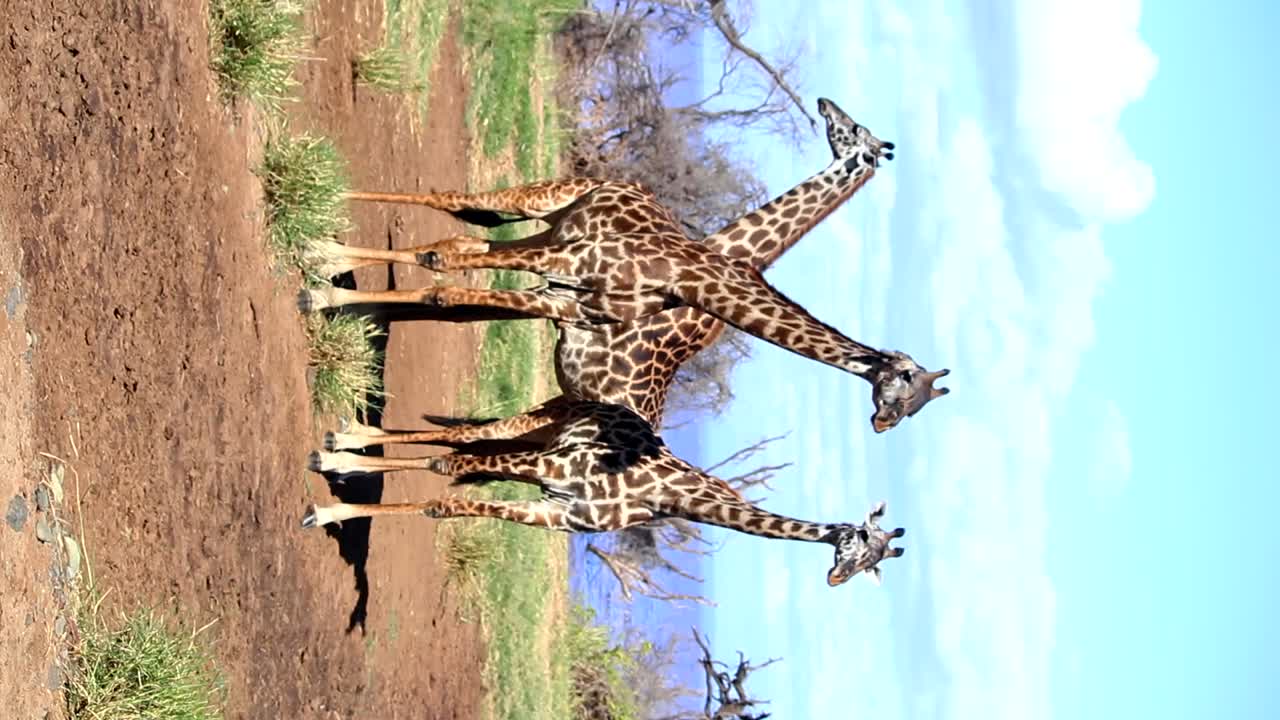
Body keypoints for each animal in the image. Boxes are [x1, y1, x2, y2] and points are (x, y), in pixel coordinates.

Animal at [302, 98, 950, 432]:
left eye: (906, 401)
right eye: (855, 129)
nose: (882, 424)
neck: (693, 276)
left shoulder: (561, 295)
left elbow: (448, 285)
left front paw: (333, 290)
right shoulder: (563, 266)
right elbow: (443, 267)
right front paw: (325, 277)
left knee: (459, 233)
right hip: (547, 208)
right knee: (452, 209)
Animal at [302, 401, 906, 588]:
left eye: (872, 566)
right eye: (858, 539)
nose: (834, 578)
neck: (665, 495)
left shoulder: (551, 512)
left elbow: (447, 502)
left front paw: (336, 495)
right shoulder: (546, 468)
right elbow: (443, 471)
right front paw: (328, 508)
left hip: (537, 434)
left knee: (464, 437)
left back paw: (345, 448)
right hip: (538, 433)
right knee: (461, 440)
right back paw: (339, 450)